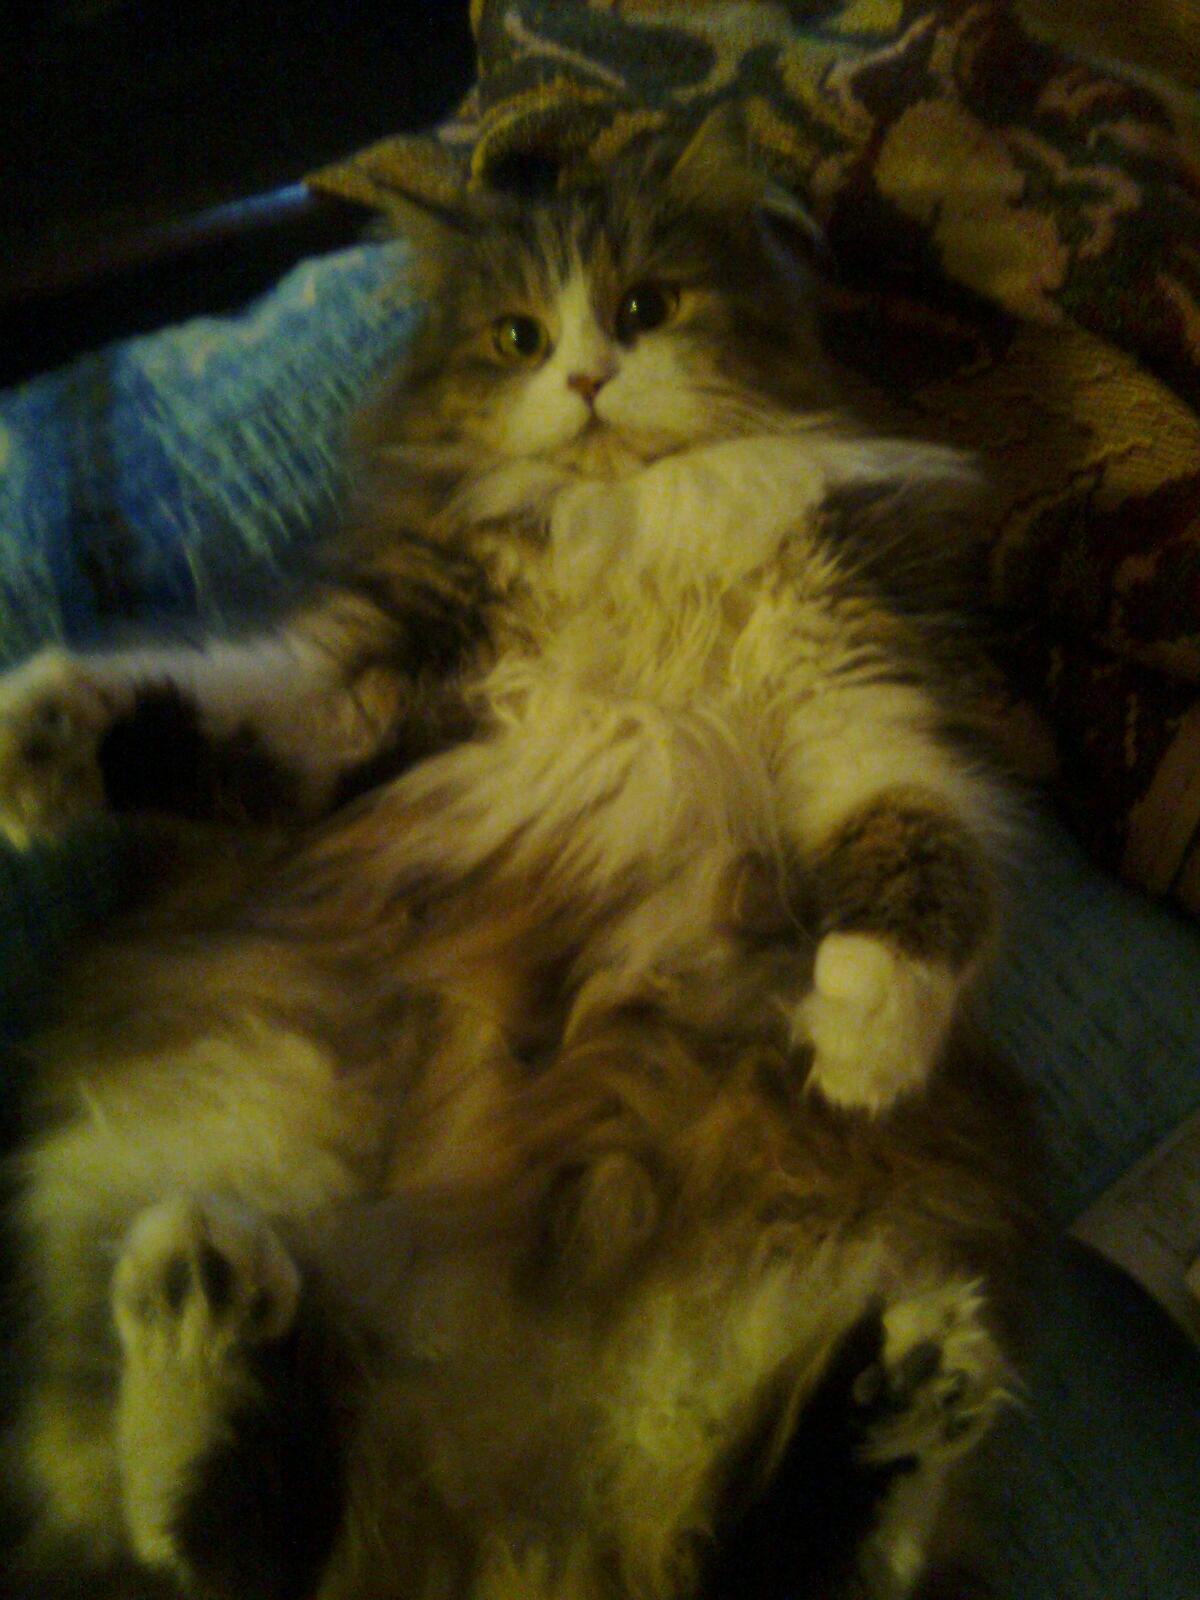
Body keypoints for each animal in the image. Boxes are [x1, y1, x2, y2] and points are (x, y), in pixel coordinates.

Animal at [0, 128, 1034, 1600]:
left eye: (647, 307)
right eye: (517, 337)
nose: (589, 379)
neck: (633, 520)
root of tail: (506, 1530)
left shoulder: (867, 702)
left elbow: (922, 863)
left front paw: (861, 1037)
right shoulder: (361, 698)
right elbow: (201, 710)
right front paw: (39, 738)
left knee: (773, 1554)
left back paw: (905, 1391)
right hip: (233, 1110)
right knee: (224, 1539)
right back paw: (205, 1320)